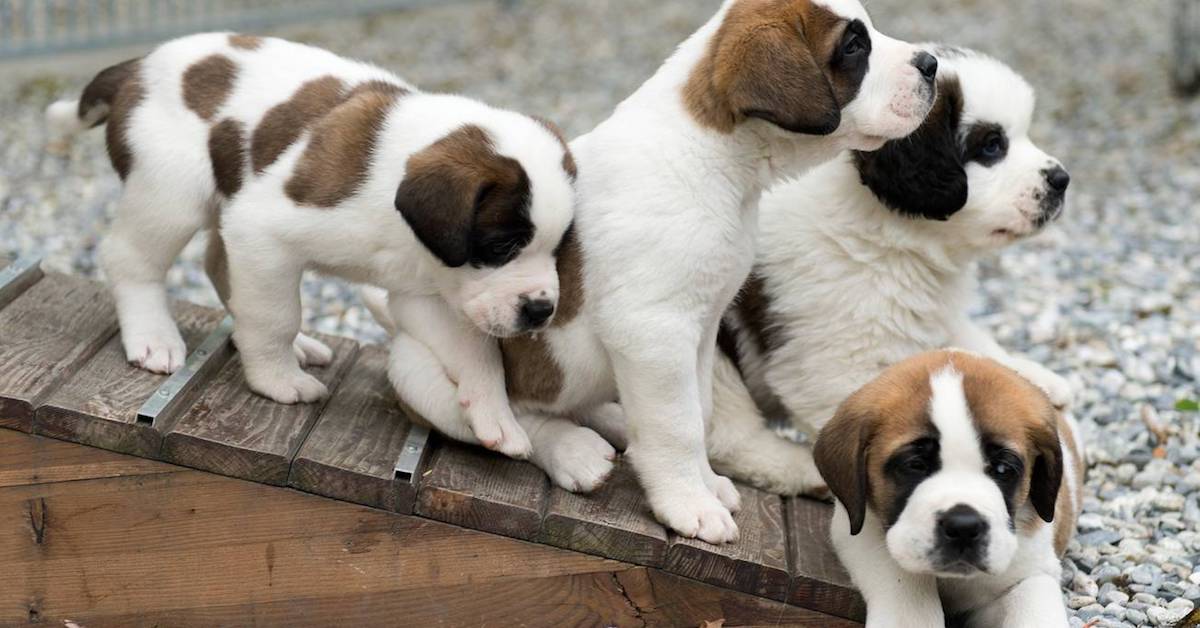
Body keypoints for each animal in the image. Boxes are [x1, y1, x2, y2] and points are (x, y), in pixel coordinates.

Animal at [44, 33, 573, 456]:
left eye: (557, 249)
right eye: (501, 246)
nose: (541, 309)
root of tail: (141, 64)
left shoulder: (427, 292)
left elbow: (477, 354)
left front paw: (495, 416)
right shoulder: (263, 230)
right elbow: (275, 316)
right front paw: (277, 381)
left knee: (221, 265)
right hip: (171, 193)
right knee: (133, 260)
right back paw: (153, 336)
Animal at [364, 0, 936, 545]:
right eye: (854, 46)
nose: (931, 63)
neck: (715, 160)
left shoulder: (701, 330)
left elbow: (698, 414)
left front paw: (704, 483)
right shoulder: (653, 332)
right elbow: (675, 425)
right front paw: (688, 504)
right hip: (421, 373)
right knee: (510, 417)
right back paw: (569, 450)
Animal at [710, 45, 1080, 497]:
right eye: (992, 146)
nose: (1062, 180)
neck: (896, 235)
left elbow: (964, 343)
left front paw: (1027, 376)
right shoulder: (836, 363)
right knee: (726, 434)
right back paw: (796, 467)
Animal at [811, 348, 1084, 628]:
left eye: (1003, 469)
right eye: (915, 465)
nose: (964, 527)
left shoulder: (1031, 572)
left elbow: (1034, 600)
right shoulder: (857, 529)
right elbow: (903, 582)